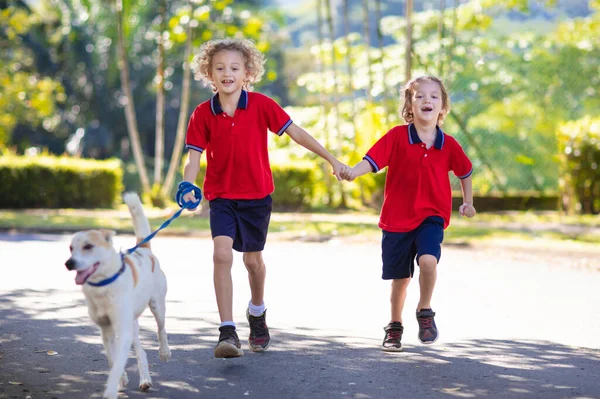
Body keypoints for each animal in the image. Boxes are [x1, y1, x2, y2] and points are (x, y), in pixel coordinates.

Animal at [64, 192, 170, 398]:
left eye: (88, 246)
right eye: (71, 248)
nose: (69, 263)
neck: (103, 285)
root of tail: (144, 248)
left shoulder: (122, 330)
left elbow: (118, 363)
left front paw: (112, 389)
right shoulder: (106, 331)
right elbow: (113, 361)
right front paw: (121, 380)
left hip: (157, 306)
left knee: (161, 329)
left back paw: (164, 352)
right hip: (132, 323)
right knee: (141, 352)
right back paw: (145, 379)